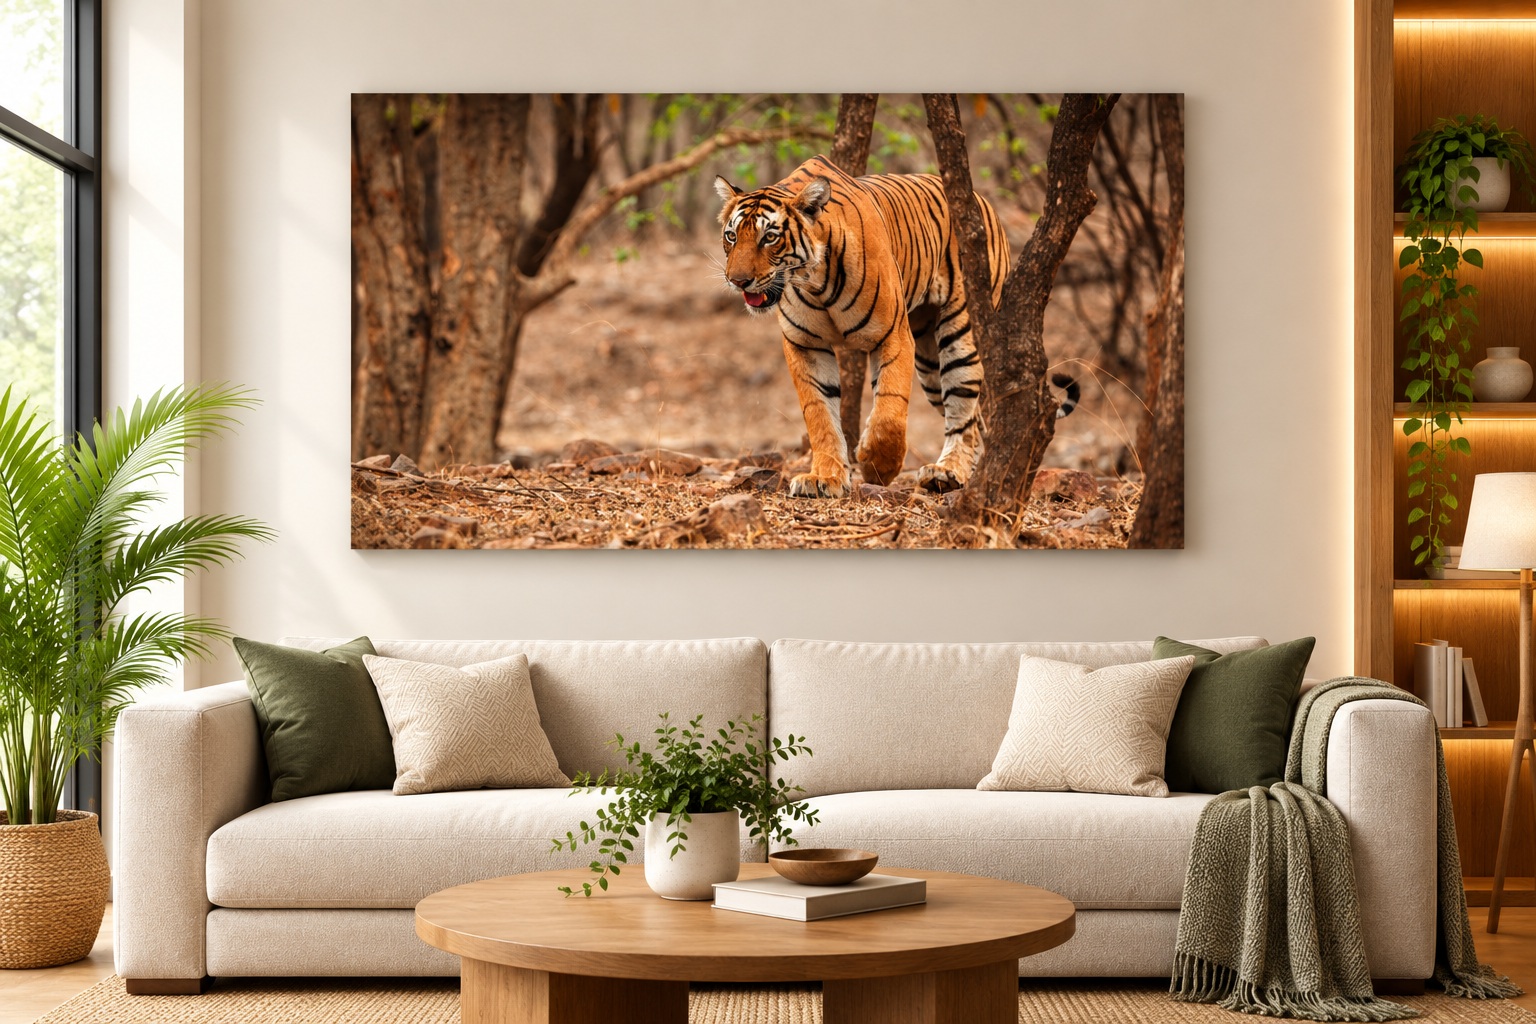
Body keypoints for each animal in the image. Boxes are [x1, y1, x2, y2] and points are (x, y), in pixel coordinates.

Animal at [715, 154, 1077, 499]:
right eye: (731, 236)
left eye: (769, 238)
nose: (737, 280)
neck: (814, 283)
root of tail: (981, 200)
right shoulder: (805, 345)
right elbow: (819, 413)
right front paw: (824, 479)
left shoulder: (892, 335)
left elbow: (889, 411)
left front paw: (877, 466)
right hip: (930, 363)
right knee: (976, 419)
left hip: (961, 333)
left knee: (963, 412)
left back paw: (949, 473)